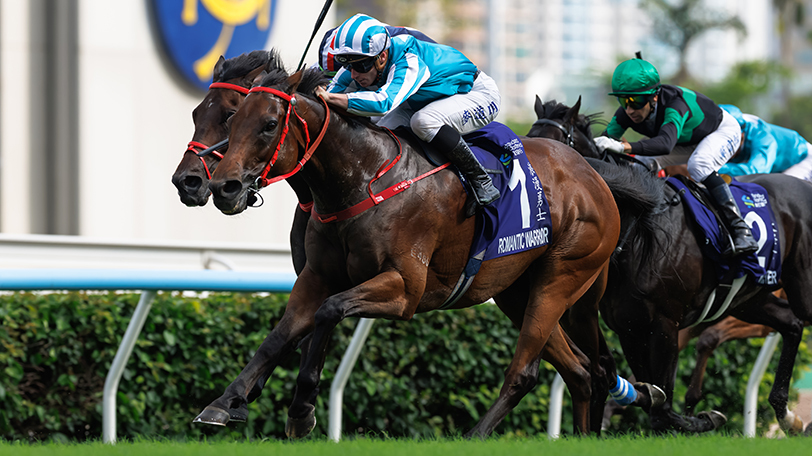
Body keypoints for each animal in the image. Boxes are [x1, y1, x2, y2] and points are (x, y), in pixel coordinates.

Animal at [197, 64, 624, 438]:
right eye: (233, 121)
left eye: (269, 125)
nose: (223, 187)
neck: (363, 179)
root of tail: (592, 175)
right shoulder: (316, 277)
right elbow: (278, 337)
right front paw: (224, 403)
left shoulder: (405, 289)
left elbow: (329, 311)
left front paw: (302, 409)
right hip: (517, 293)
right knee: (580, 370)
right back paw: (581, 435)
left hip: (560, 279)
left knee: (526, 371)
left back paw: (475, 435)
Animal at [530, 97, 812, 433]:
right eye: (527, 140)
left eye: (555, 148)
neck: (637, 234)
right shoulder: (629, 326)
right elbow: (653, 398)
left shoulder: (665, 325)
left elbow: (661, 408)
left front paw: (701, 416)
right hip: (748, 300)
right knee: (792, 324)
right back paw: (787, 415)